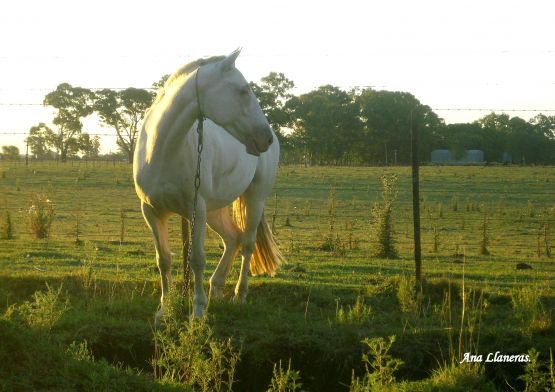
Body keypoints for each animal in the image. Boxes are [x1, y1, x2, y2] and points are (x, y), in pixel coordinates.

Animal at [133, 50, 284, 324]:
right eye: (243, 90)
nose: (265, 138)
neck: (162, 150)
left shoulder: (196, 211)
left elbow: (196, 260)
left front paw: (198, 311)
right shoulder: (151, 211)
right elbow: (164, 260)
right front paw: (163, 310)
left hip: (254, 199)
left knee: (247, 243)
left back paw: (239, 295)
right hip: (215, 210)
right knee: (233, 239)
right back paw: (217, 288)